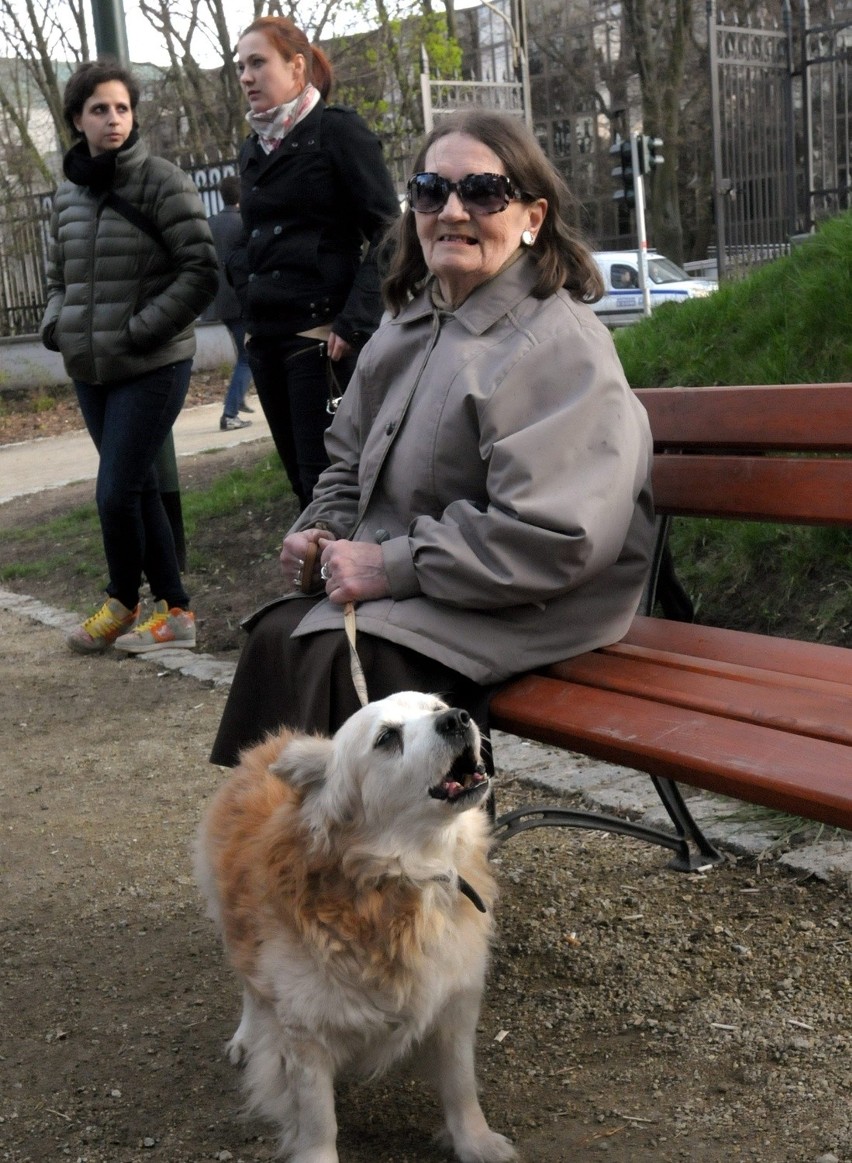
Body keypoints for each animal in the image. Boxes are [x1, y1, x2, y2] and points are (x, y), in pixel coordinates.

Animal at [197, 688, 518, 1163]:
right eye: (387, 738)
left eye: (436, 707)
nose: (458, 718)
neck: (406, 879)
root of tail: (277, 743)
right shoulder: (305, 1033)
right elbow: (318, 1120)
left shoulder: (455, 1005)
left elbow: (461, 1087)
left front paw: (476, 1143)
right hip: (236, 928)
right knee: (251, 991)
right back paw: (245, 1037)